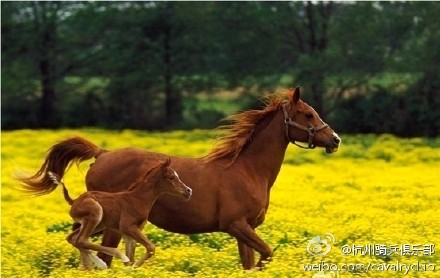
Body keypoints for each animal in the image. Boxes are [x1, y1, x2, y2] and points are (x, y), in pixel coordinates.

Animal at [48, 159, 192, 270]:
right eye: (172, 177)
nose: (188, 191)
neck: (138, 199)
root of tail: (74, 201)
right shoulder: (127, 227)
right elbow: (150, 248)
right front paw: (131, 267)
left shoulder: (130, 232)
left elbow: (132, 255)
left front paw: (129, 269)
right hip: (96, 213)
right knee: (81, 240)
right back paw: (108, 261)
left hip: (98, 224)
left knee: (73, 238)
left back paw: (89, 268)